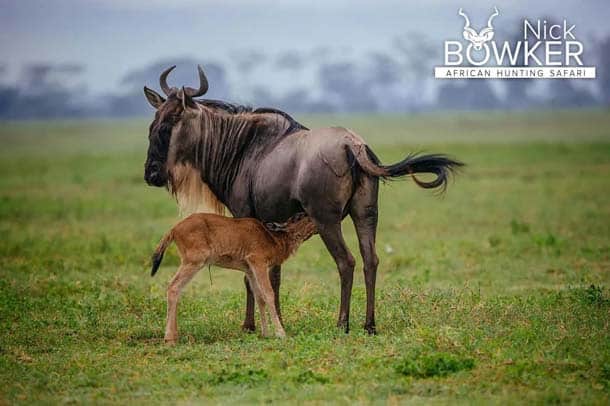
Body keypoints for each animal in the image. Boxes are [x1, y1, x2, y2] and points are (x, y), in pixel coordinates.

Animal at [150, 213, 316, 342]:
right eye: (299, 216)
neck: (273, 238)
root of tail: (173, 230)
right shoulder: (258, 262)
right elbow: (269, 294)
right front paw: (281, 333)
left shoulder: (250, 269)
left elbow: (259, 297)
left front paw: (266, 333)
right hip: (194, 261)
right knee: (173, 287)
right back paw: (170, 338)